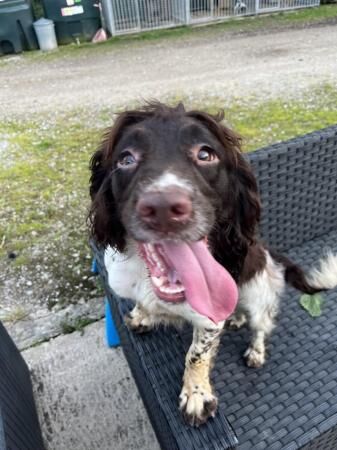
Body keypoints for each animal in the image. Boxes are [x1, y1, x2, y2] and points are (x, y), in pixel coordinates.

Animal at [88, 102, 336, 426]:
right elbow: (143, 306)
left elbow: (196, 354)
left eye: (205, 154)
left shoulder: (208, 321)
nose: (164, 208)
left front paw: (196, 395)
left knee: (262, 325)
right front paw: (142, 316)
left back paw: (255, 350)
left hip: (260, 296)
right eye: (126, 159)